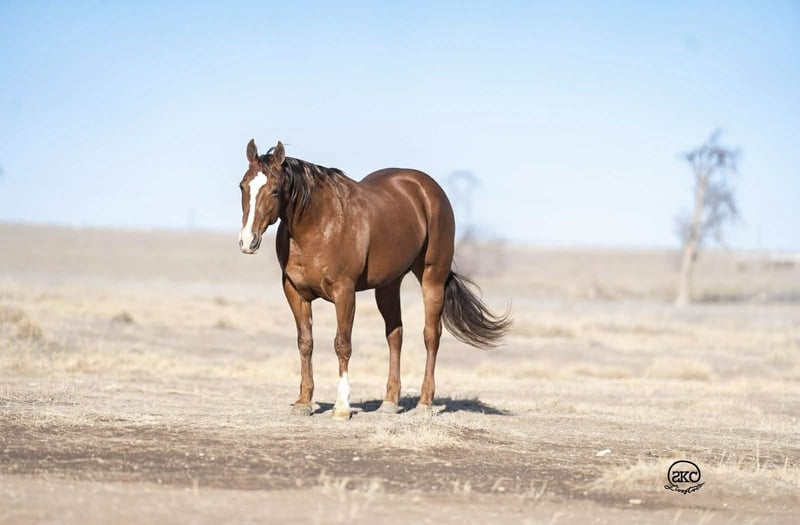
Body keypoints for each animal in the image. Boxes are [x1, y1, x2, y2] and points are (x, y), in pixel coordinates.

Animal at [238, 139, 510, 420]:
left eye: (275, 191)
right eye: (242, 186)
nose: (248, 241)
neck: (318, 225)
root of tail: (427, 188)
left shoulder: (344, 292)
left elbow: (342, 344)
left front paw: (342, 407)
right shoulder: (295, 292)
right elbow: (305, 343)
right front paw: (303, 402)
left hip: (432, 278)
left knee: (431, 336)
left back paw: (424, 403)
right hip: (388, 286)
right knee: (395, 335)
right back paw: (389, 401)